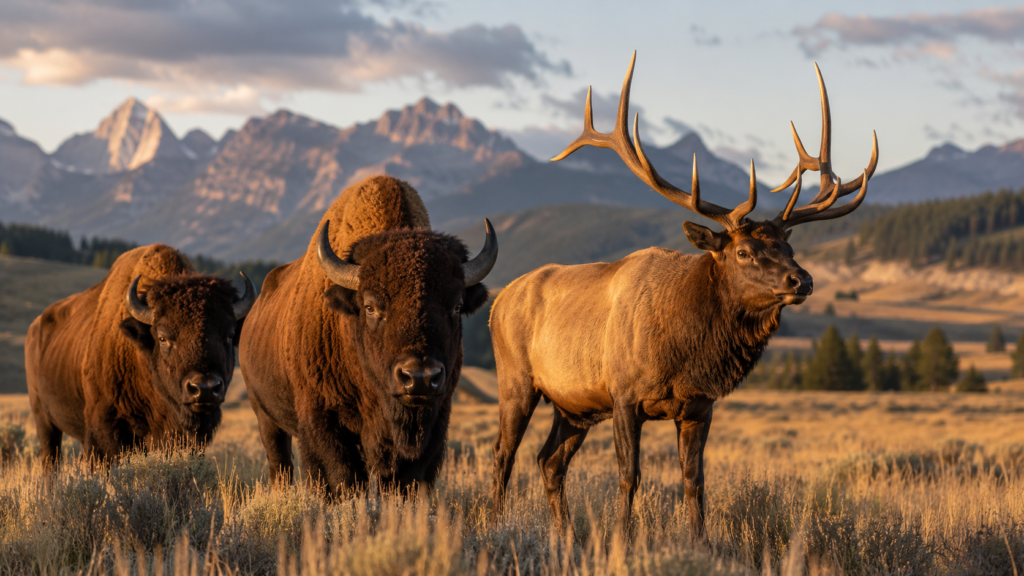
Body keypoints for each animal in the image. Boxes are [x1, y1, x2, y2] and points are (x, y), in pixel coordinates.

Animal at [25, 244, 256, 462]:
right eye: (162, 338)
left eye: (230, 335)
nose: (204, 388)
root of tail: (34, 327)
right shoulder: (105, 431)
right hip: (43, 419)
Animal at [238, 175, 497, 494]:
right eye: (371, 306)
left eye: (457, 306)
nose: (420, 377)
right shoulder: (324, 421)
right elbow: (343, 479)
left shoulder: (435, 421)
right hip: (265, 415)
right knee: (280, 464)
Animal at [488, 52, 878, 544]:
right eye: (743, 252)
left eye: (788, 248)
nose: (802, 280)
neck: (686, 351)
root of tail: (496, 302)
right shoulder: (623, 395)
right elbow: (629, 476)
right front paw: (622, 539)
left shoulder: (698, 406)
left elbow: (694, 481)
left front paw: (700, 543)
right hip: (517, 380)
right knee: (503, 455)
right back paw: (494, 524)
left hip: (574, 406)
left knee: (549, 461)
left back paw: (566, 536)